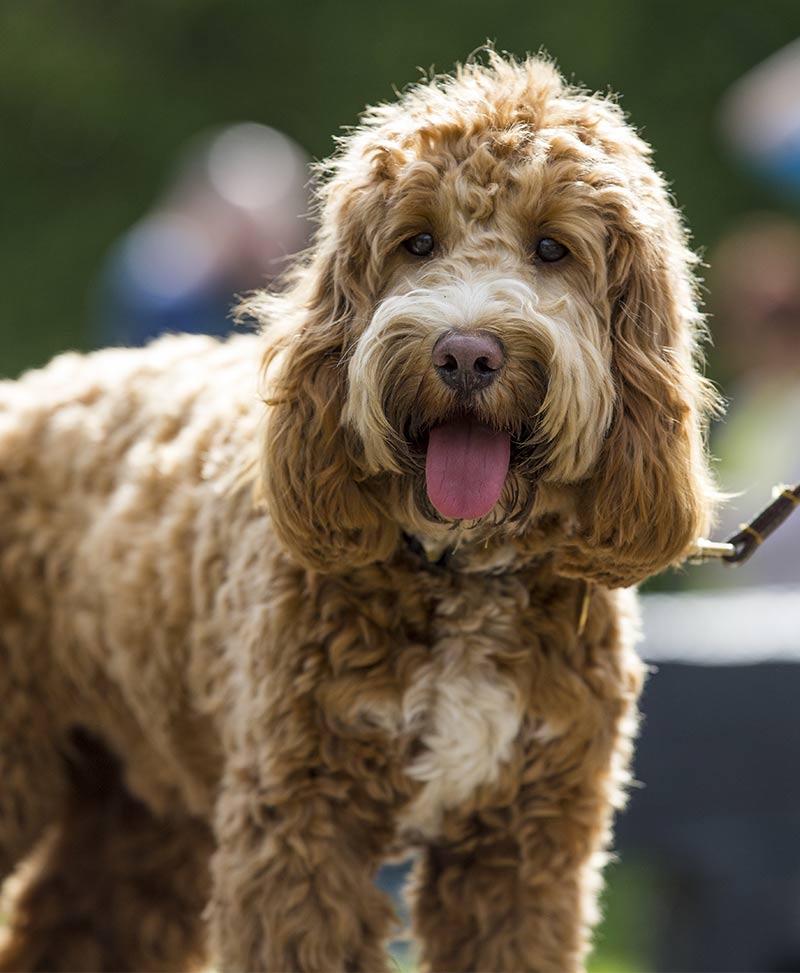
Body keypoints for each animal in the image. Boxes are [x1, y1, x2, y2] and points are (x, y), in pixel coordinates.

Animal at [0, 51, 716, 972]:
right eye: (418, 242)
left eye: (553, 247)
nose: (466, 353)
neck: (463, 570)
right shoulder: (302, 829)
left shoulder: (523, 846)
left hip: (140, 803)